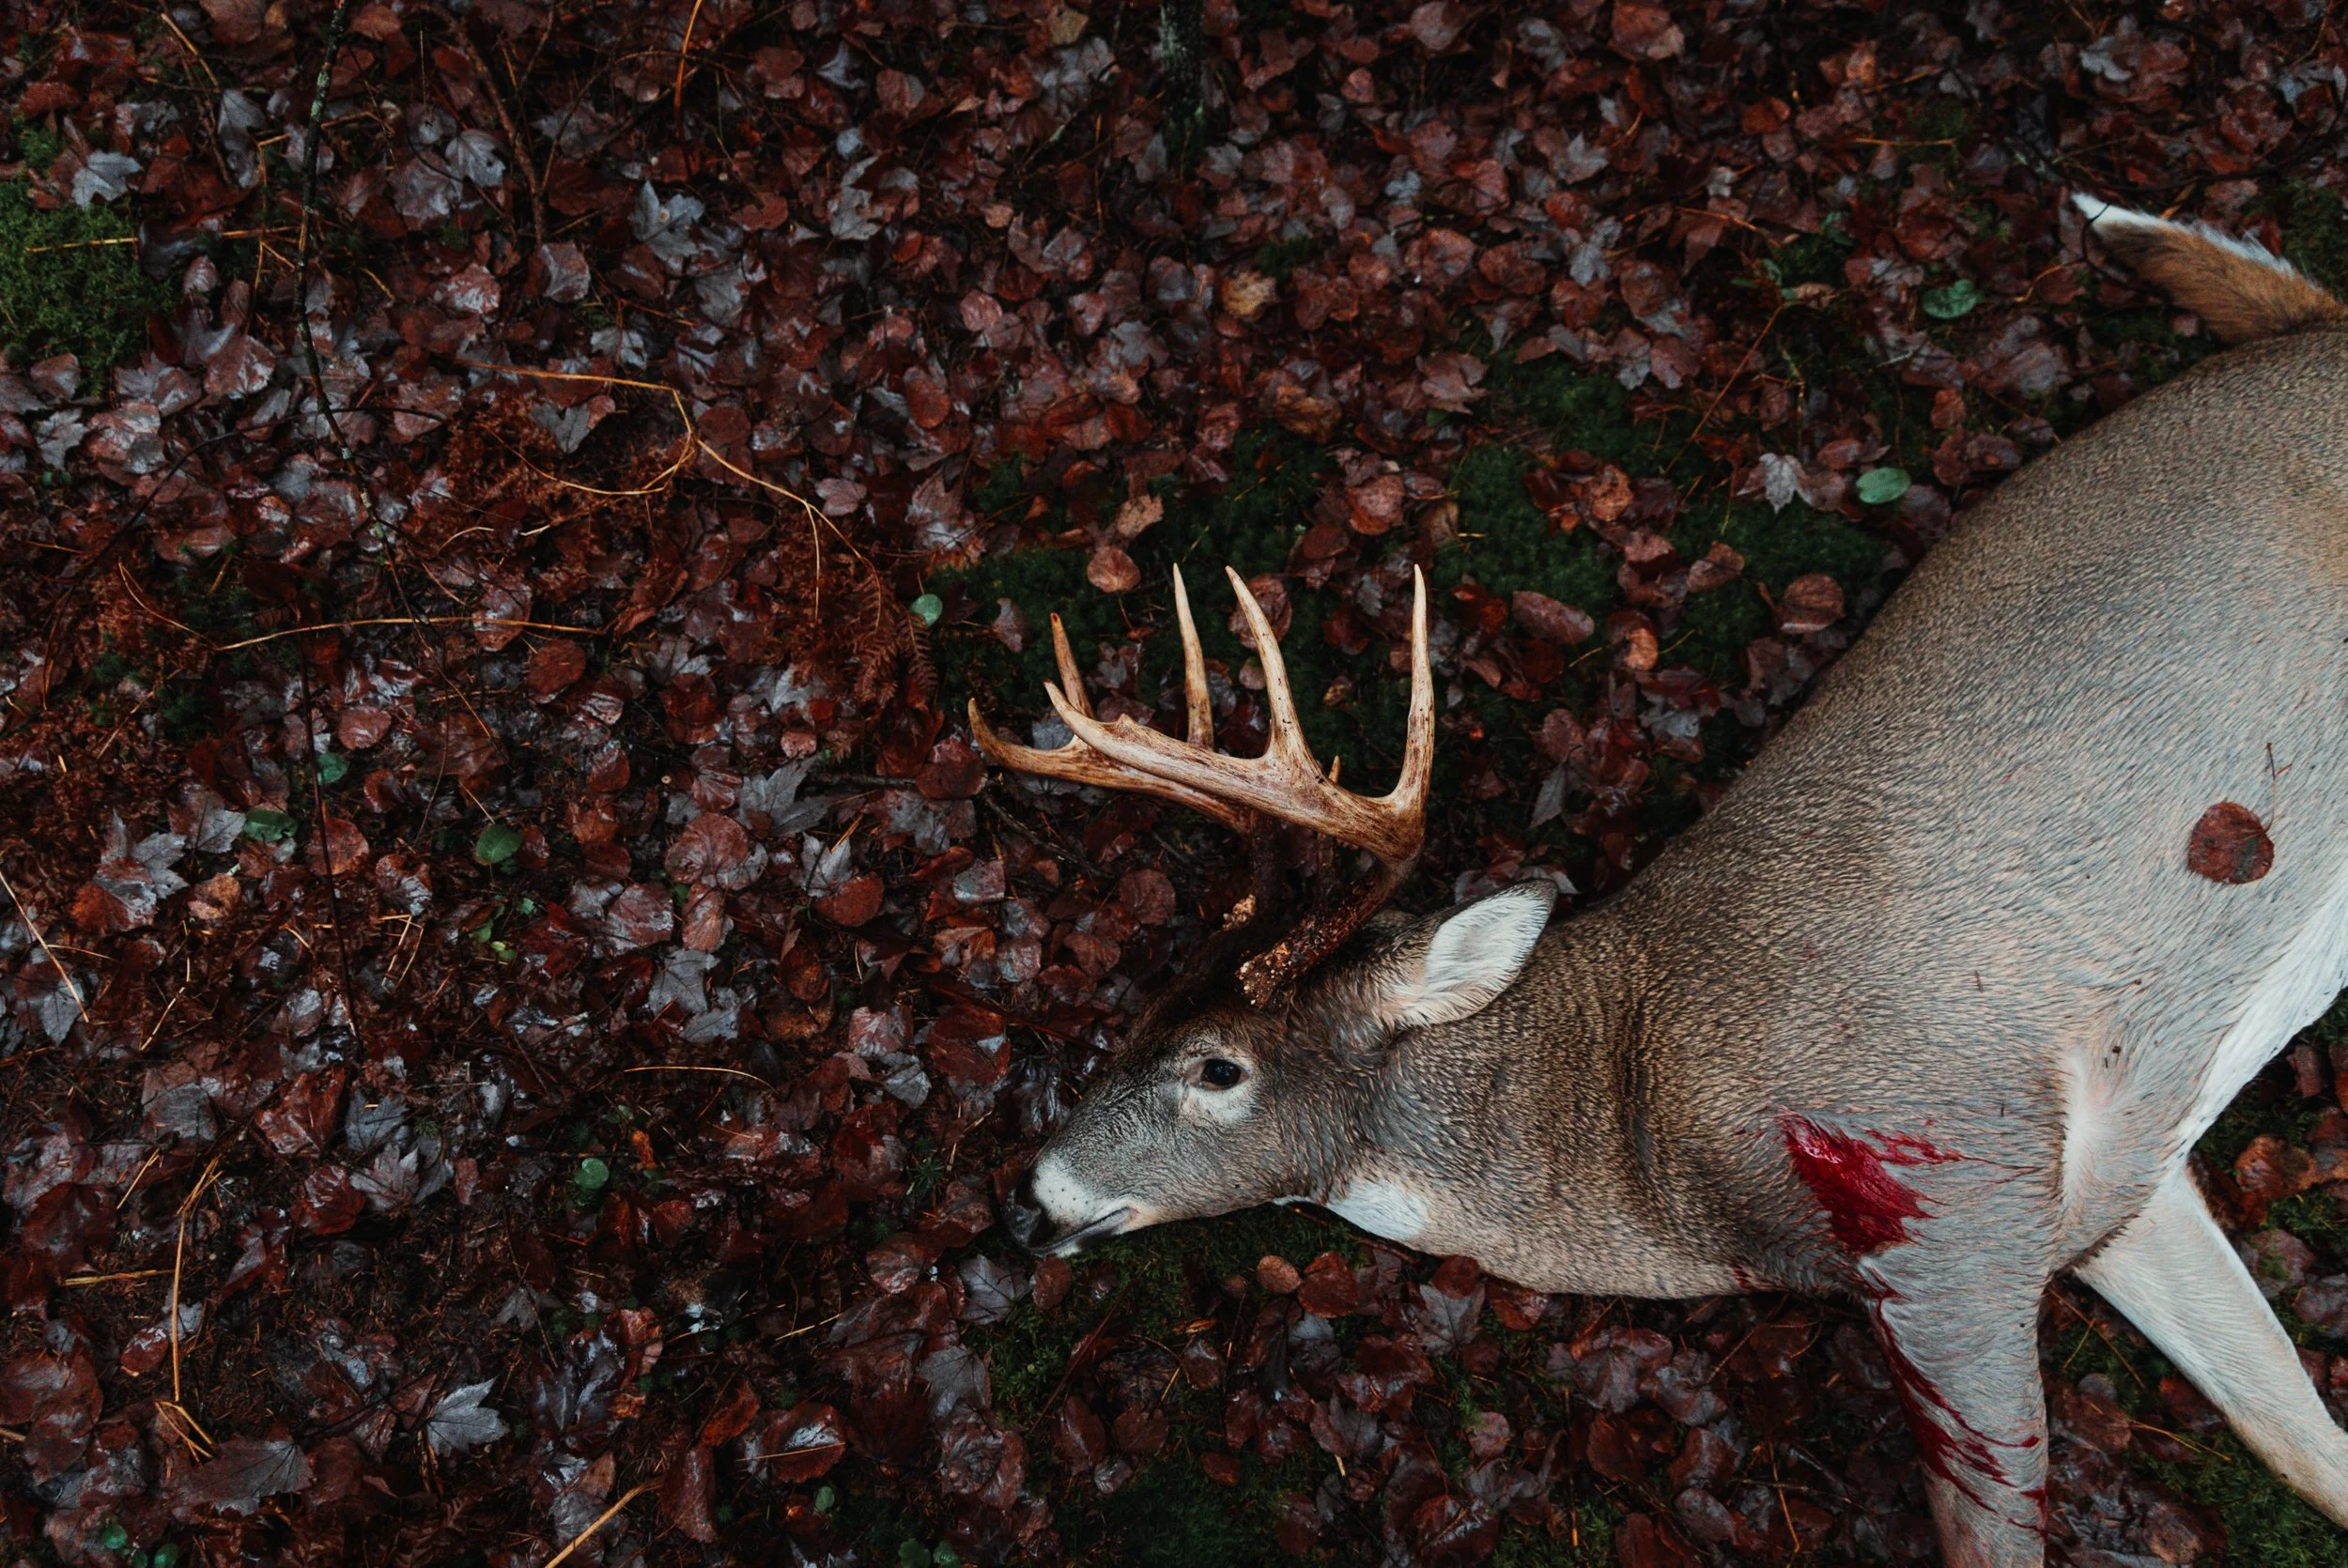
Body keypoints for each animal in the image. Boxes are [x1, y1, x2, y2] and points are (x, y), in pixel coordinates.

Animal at [971, 197, 2348, 1566]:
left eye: (1216, 1065)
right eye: (1127, 1024)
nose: (1029, 1201)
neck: (1645, 1143)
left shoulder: (1954, 1183)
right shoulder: (2117, 1189)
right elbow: (2303, 1444)